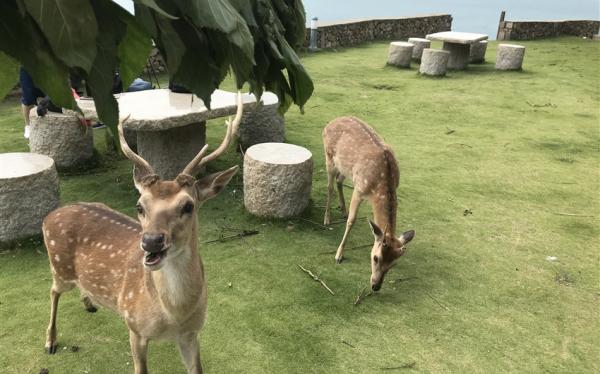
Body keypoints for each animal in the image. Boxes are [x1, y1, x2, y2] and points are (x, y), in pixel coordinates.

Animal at [42, 92, 244, 372]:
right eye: (140, 205)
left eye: (188, 206)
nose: (151, 241)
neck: (173, 315)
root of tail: (50, 216)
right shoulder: (134, 327)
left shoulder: (191, 334)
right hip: (59, 267)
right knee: (52, 291)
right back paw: (50, 341)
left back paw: (89, 302)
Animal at [324, 115, 412, 290]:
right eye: (376, 258)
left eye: (393, 264)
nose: (376, 286)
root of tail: (331, 122)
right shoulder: (359, 189)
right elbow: (351, 221)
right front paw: (339, 255)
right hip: (329, 156)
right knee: (329, 186)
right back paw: (327, 218)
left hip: (346, 168)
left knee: (339, 180)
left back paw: (342, 209)